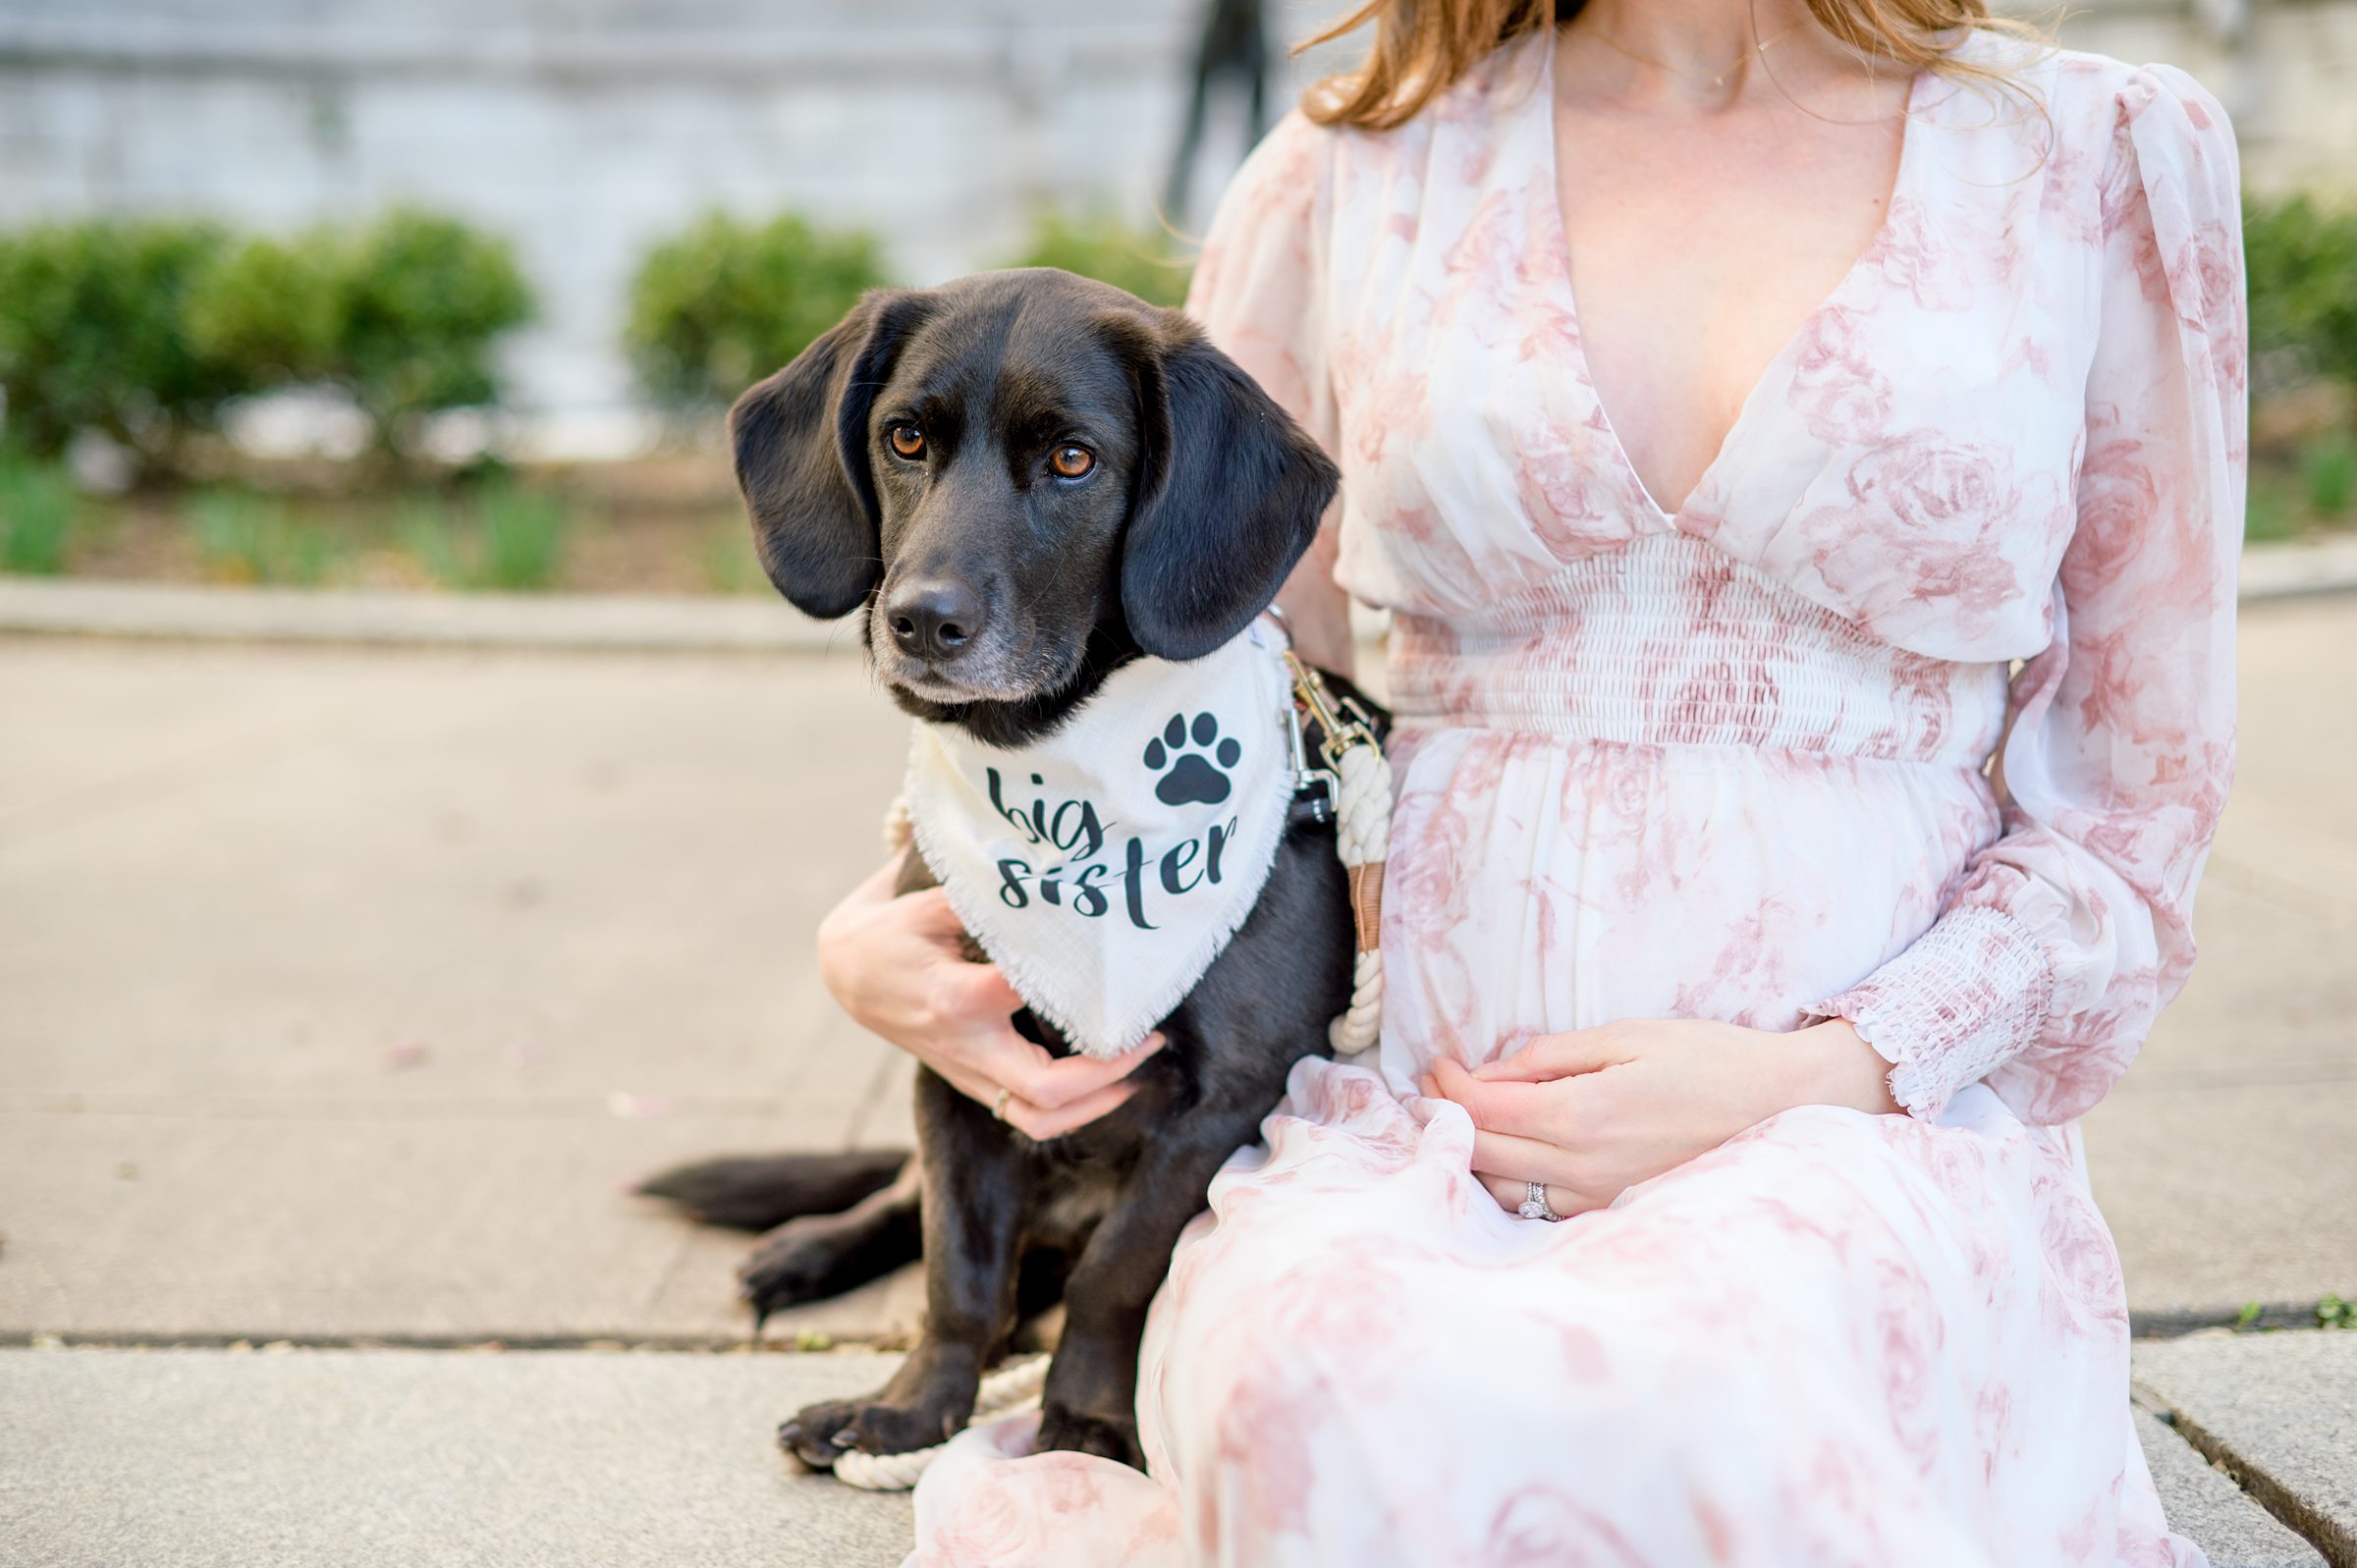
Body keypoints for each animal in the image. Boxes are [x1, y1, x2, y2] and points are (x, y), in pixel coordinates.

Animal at [645, 266, 1376, 1471]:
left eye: (1074, 459)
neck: (1057, 766)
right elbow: (958, 1268)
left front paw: (1082, 1418)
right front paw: (905, 1409)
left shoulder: (1224, 1098)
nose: (918, 619)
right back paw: (803, 1249)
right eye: (904, 438)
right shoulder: (949, 1066)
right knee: (898, 1204)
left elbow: (1112, 1275)